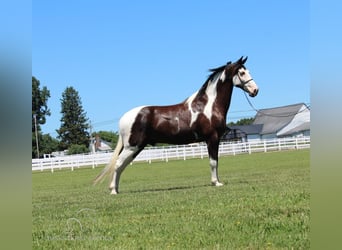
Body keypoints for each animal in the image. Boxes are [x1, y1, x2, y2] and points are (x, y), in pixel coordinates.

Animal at [94, 55, 260, 194]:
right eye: (242, 73)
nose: (255, 90)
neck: (208, 105)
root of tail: (125, 117)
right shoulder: (212, 138)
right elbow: (214, 162)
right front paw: (216, 183)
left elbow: (215, 161)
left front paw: (217, 181)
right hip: (132, 147)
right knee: (118, 164)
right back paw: (113, 191)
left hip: (136, 148)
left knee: (121, 166)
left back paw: (116, 189)